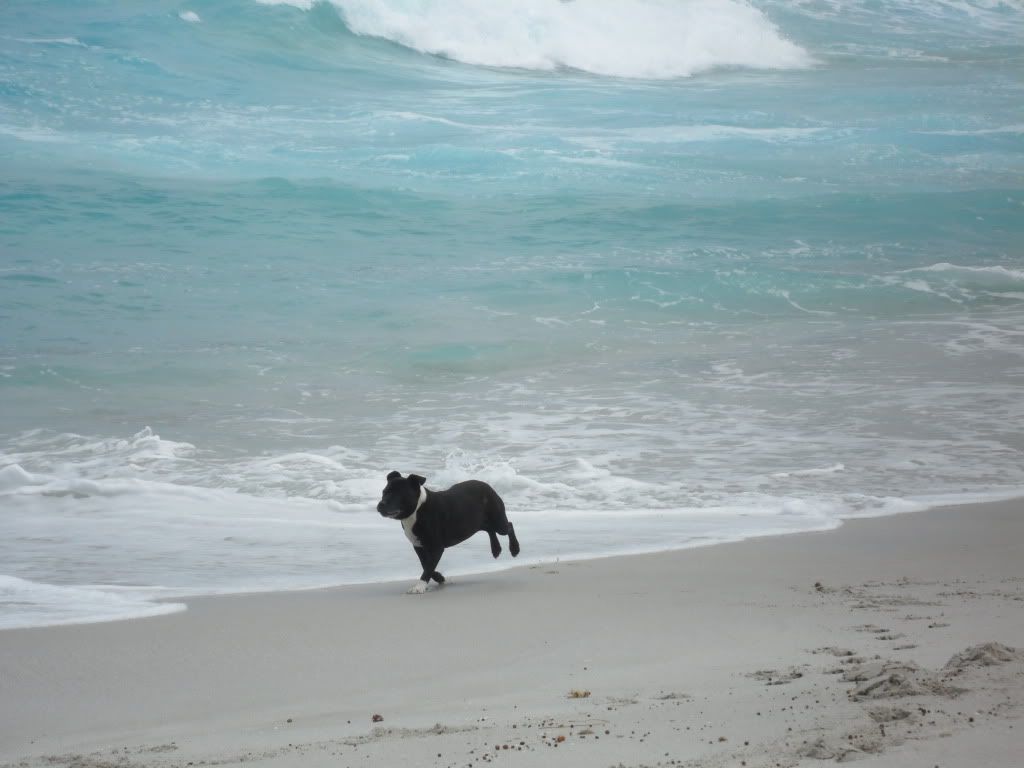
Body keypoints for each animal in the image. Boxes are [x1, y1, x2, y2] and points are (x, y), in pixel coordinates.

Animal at [376, 468, 520, 593]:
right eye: (384, 492)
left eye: (398, 494)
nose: (380, 505)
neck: (417, 510)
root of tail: (488, 486)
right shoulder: (418, 545)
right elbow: (425, 564)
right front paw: (440, 578)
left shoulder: (436, 547)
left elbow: (429, 566)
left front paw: (419, 587)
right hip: (477, 522)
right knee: (490, 529)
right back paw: (496, 549)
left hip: (497, 521)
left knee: (508, 526)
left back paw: (514, 549)